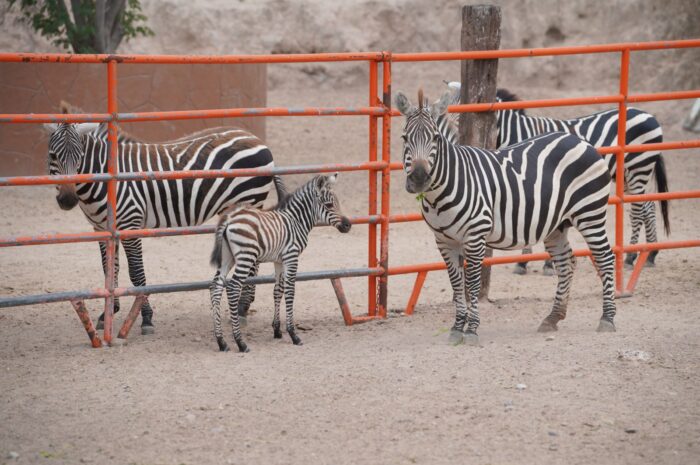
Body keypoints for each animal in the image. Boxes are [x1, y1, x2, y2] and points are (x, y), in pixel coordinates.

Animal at [43, 118, 286, 334]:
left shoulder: (131, 223)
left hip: (249, 200)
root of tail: (255, 139)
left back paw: (243, 308)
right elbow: (110, 270)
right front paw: (109, 312)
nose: (67, 200)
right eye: (53, 155)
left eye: (80, 156)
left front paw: (146, 318)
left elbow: (136, 274)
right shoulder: (102, 229)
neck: (107, 176)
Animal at [208, 173, 352, 352]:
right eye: (329, 205)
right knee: (233, 287)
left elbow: (278, 290)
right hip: (246, 256)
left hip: (228, 257)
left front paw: (277, 330)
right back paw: (240, 342)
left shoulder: (279, 261)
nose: (348, 225)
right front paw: (293, 334)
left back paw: (221, 342)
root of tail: (229, 218)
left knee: (216, 286)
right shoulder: (292, 256)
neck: (296, 221)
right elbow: (290, 291)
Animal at [396, 89, 617, 345]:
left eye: (435, 139)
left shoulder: (475, 235)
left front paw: (471, 331)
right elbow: (456, 283)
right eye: (404, 138)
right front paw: (456, 328)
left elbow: (472, 282)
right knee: (566, 263)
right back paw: (552, 318)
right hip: (557, 225)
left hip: (590, 213)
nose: (419, 178)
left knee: (606, 258)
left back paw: (607, 319)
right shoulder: (444, 241)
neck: (442, 192)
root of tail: (581, 142)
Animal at [444, 83, 670, 274]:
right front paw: (535, 262)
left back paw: (631, 256)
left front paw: (533, 263)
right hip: (630, 174)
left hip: (638, 167)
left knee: (638, 210)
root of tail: (647, 114)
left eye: (459, 115)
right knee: (648, 205)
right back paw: (650, 253)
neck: (516, 133)